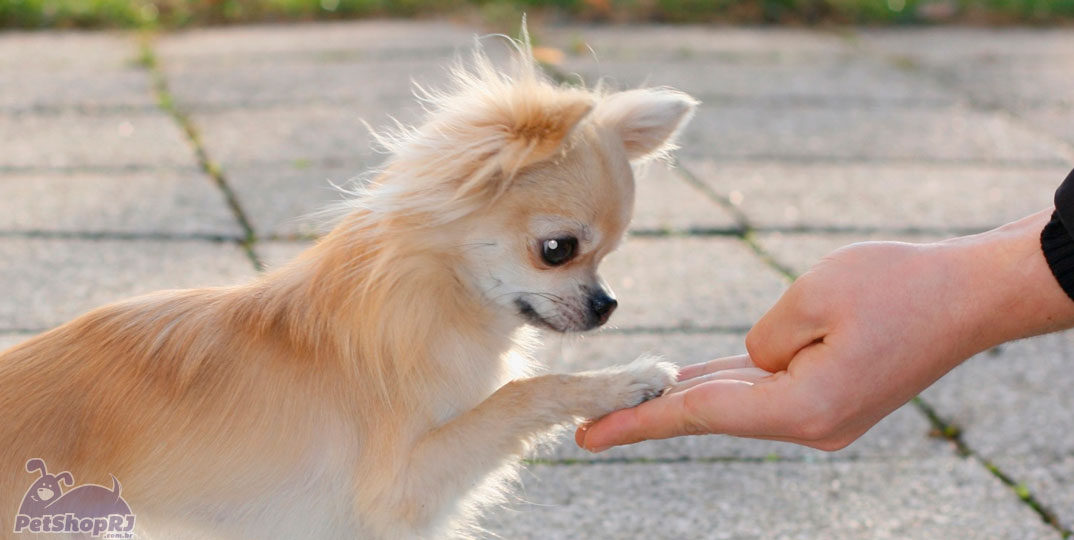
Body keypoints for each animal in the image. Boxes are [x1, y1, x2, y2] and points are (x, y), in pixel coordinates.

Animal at [0, 31, 700, 538]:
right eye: (559, 250)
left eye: (612, 253)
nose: (608, 306)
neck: (438, 299)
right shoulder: (400, 488)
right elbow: (523, 392)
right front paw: (624, 381)